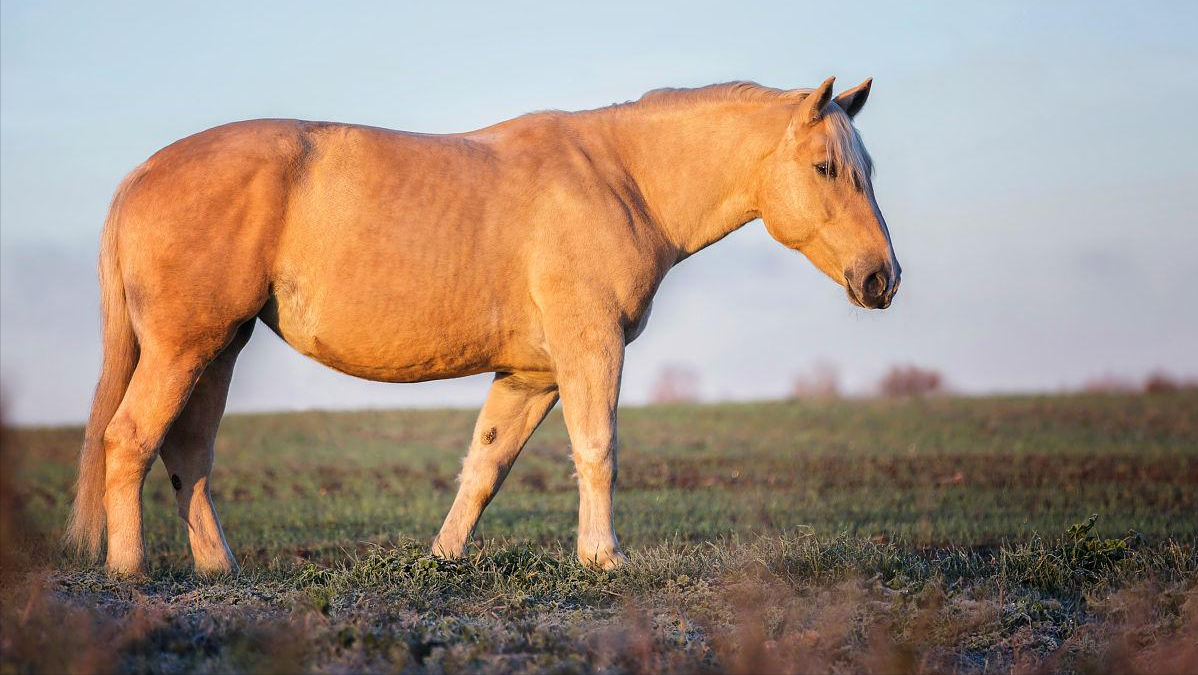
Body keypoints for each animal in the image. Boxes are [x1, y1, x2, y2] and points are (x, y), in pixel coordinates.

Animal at [65, 77, 900, 575]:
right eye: (826, 167)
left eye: (867, 168)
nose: (881, 278)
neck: (620, 178)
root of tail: (142, 173)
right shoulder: (589, 349)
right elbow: (598, 450)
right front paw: (603, 558)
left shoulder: (529, 375)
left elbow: (485, 466)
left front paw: (443, 557)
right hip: (184, 349)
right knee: (130, 440)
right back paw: (129, 570)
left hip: (218, 349)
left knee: (187, 453)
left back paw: (218, 567)